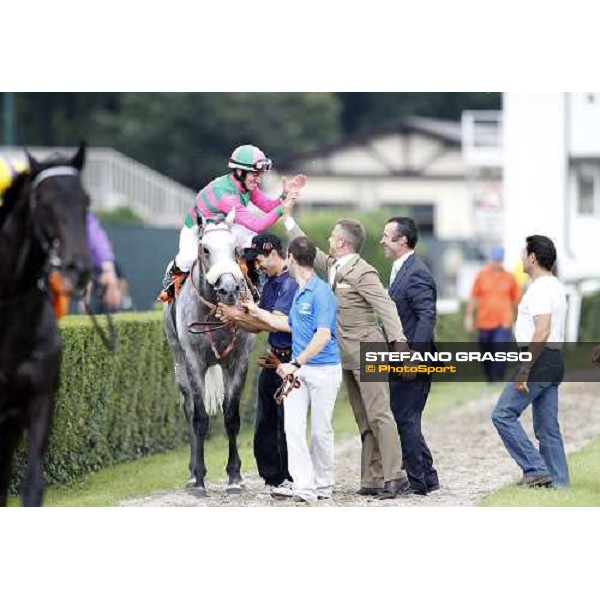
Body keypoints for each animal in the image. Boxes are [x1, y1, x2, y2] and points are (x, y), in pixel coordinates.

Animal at [164, 218, 255, 494]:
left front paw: (235, 476)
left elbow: (231, 416)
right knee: (188, 408)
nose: (228, 289)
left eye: (235, 249)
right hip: (178, 357)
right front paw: (200, 478)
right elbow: (199, 417)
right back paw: (192, 473)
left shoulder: (239, 359)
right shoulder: (194, 360)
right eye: (205, 249)